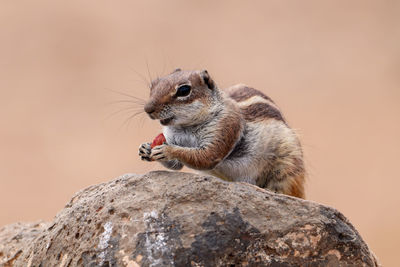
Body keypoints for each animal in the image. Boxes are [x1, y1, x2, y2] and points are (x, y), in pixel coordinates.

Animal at [139, 69, 304, 199]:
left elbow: (207, 156)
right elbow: (177, 165)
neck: (186, 127)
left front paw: (167, 150)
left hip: (286, 166)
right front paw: (145, 148)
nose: (148, 109)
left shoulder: (226, 126)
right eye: (153, 84)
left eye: (184, 90)